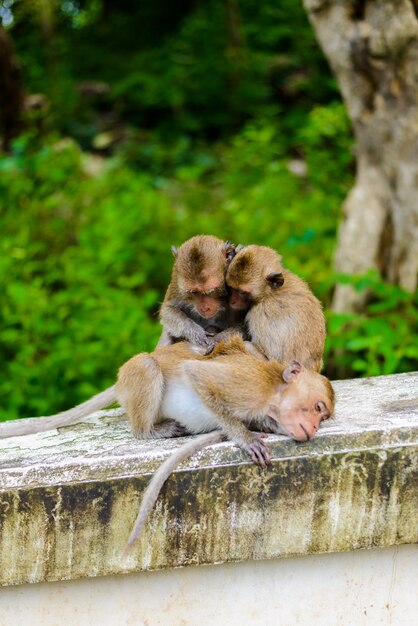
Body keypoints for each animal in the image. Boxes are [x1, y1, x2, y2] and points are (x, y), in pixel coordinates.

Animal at [119, 336, 334, 544]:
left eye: (323, 418)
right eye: (318, 407)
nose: (315, 427)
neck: (274, 394)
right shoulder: (252, 386)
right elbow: (195, 372)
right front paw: (246, 438)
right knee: (147, 364)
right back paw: (148, 431)